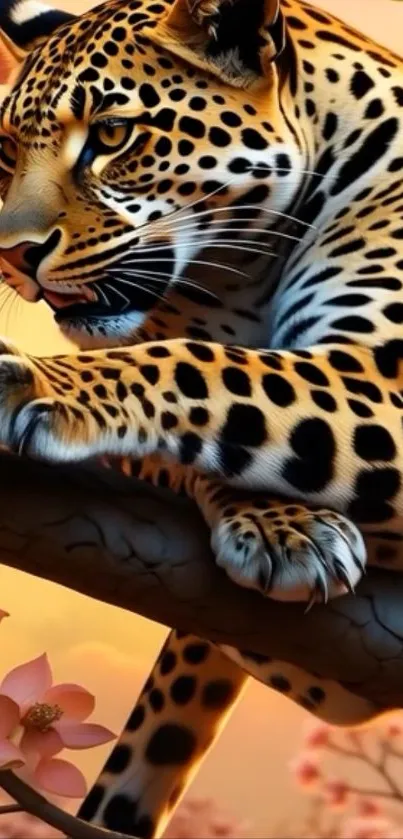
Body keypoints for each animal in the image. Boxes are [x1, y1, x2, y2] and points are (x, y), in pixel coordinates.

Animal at [0, 0, 401, 835]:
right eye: (7, 149)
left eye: (112, 136)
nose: (13, 256)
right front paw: (288, 528)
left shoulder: (383, 374)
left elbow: (217, 372)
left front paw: (33, 379)